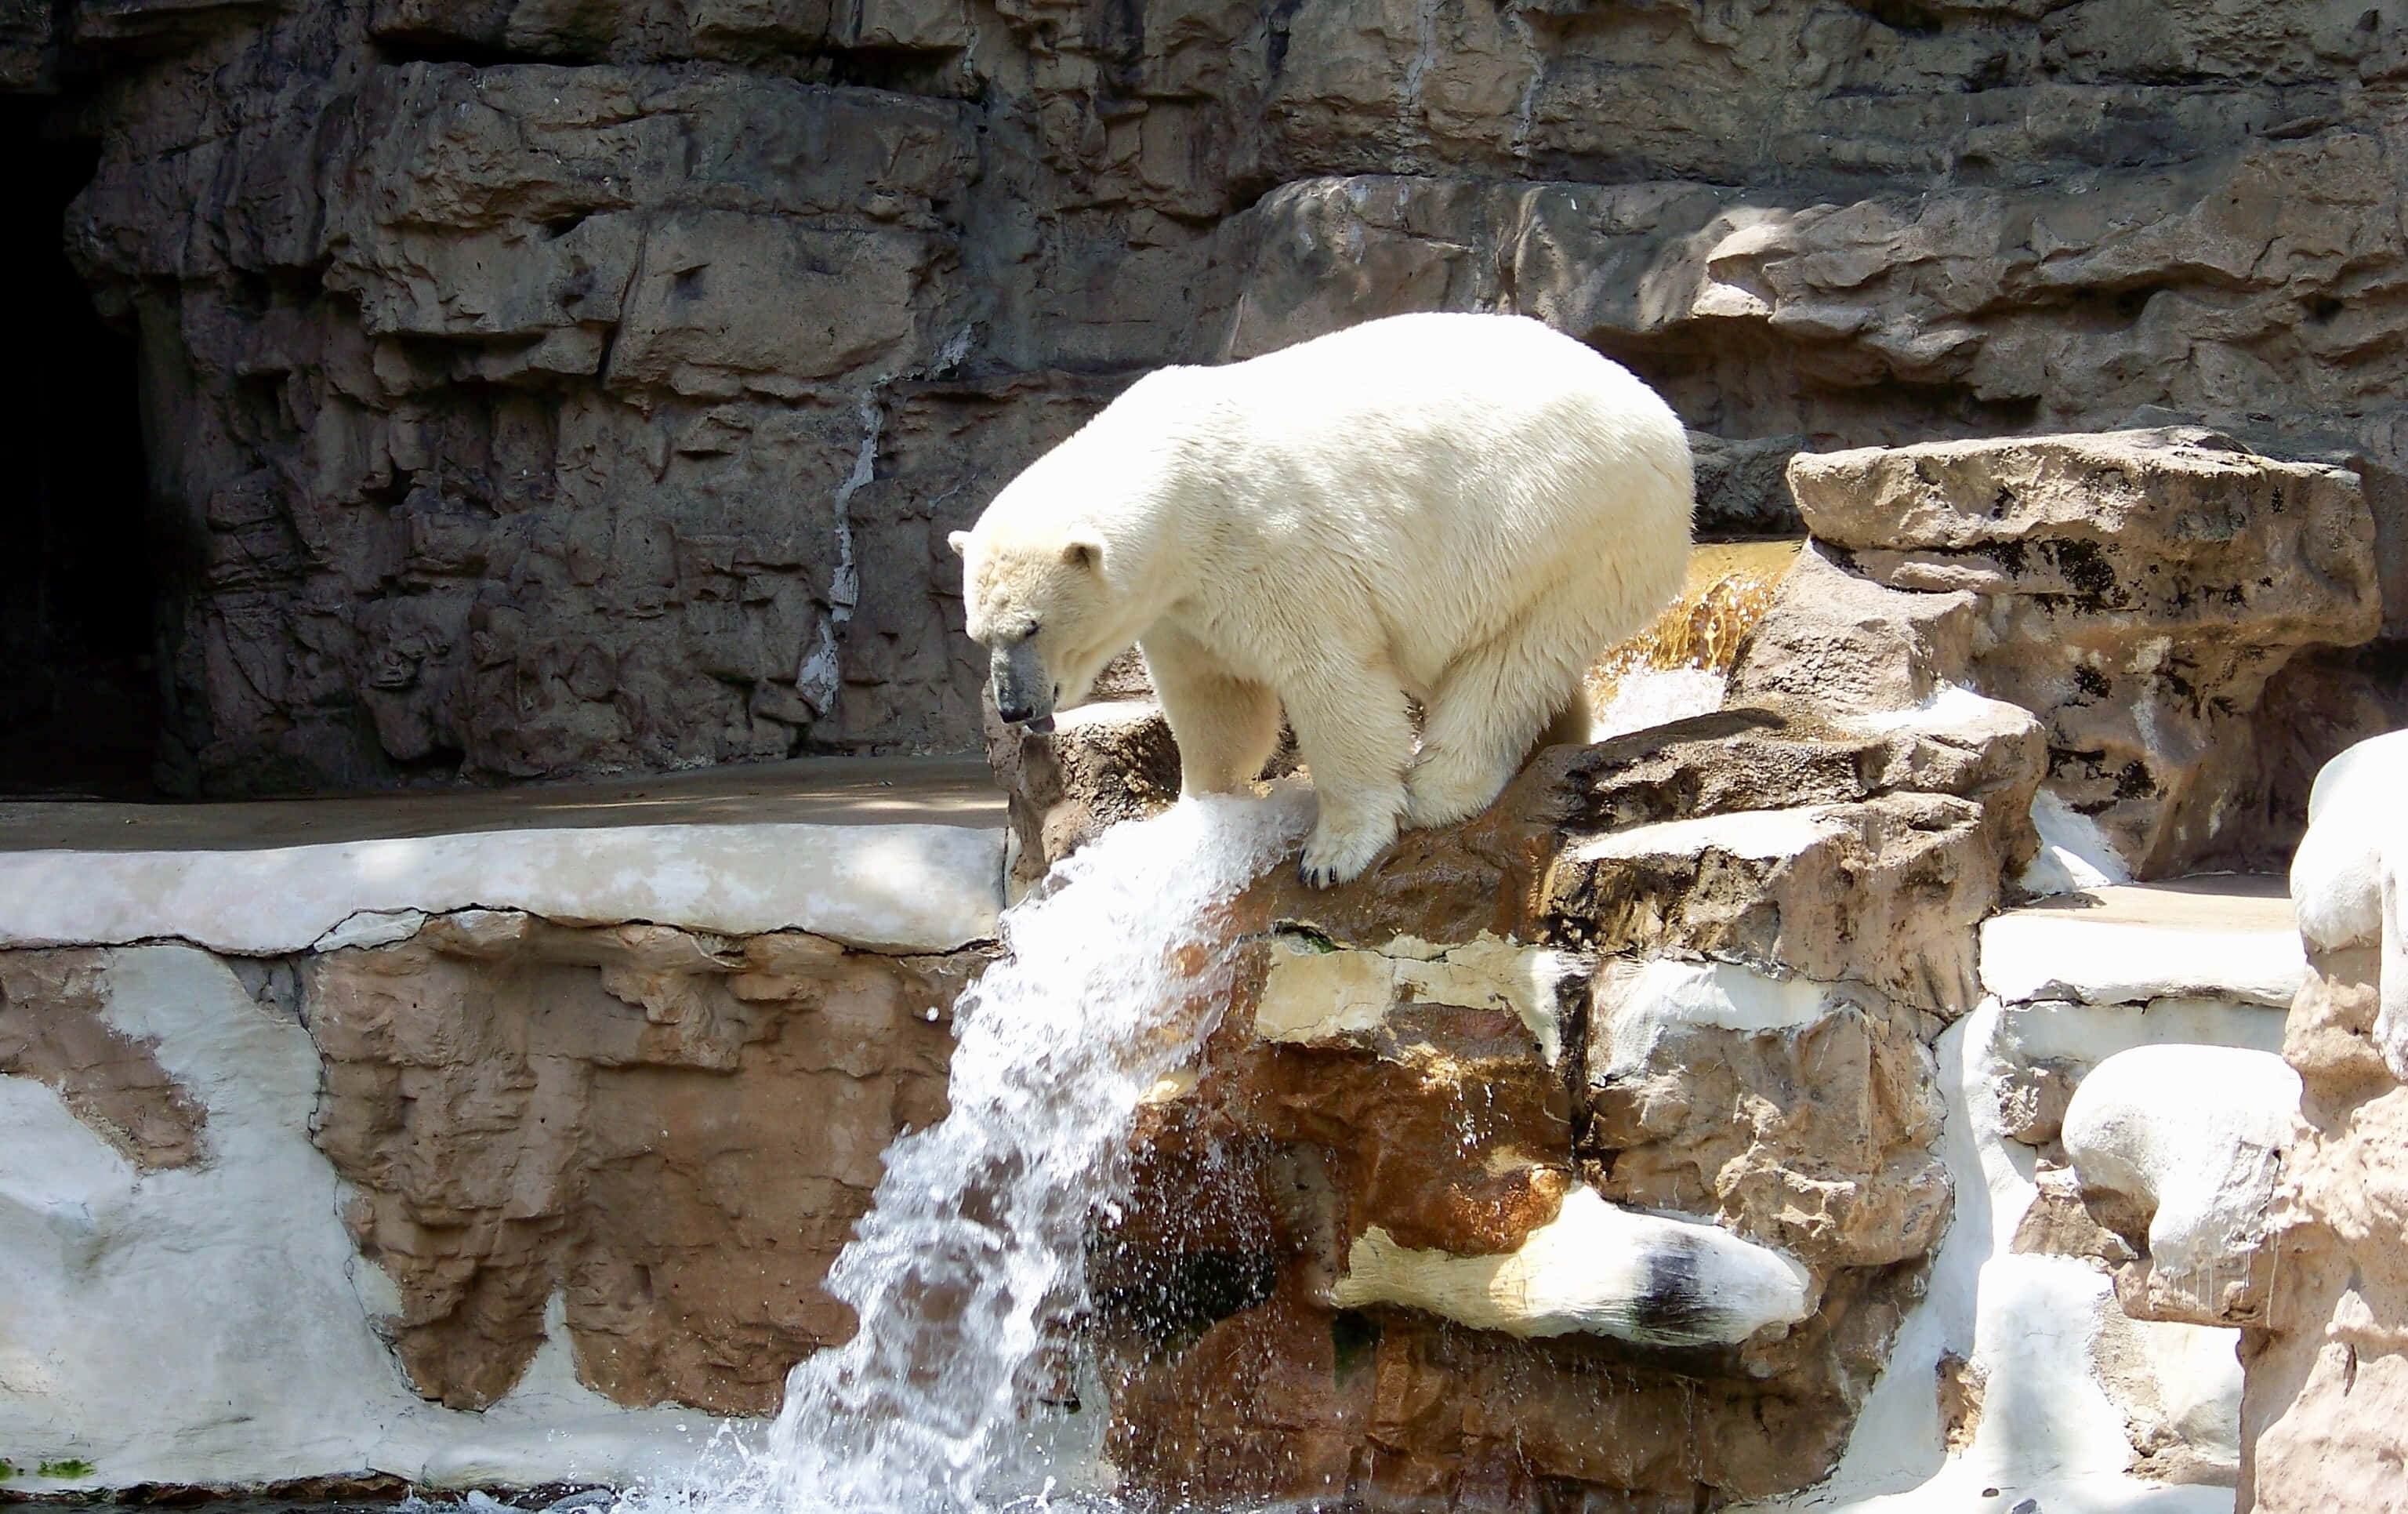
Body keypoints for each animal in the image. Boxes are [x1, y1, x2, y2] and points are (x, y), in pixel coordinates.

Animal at [951, 311, 1694, 887]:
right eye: (980, 634)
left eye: (1031, 626)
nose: (1013, 707)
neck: (1179, 483)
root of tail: (1664, 423)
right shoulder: (1180, 604)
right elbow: (1217, 702)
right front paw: (1194, 810)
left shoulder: (1271, 543)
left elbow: (1332, 682)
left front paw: (1332, 853)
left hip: (1572, 523)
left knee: (1510, 658)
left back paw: (1439, 788)